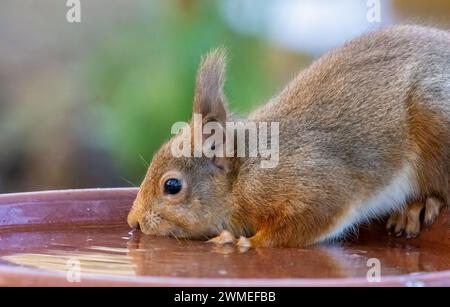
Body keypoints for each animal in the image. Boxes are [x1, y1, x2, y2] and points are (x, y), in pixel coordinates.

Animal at [127, 25, 450, 249]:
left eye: (172, 186)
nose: (135, 222)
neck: (244, 173)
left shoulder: (310, 184)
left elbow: (311, 219)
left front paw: (244, 241)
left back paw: (420, 205)